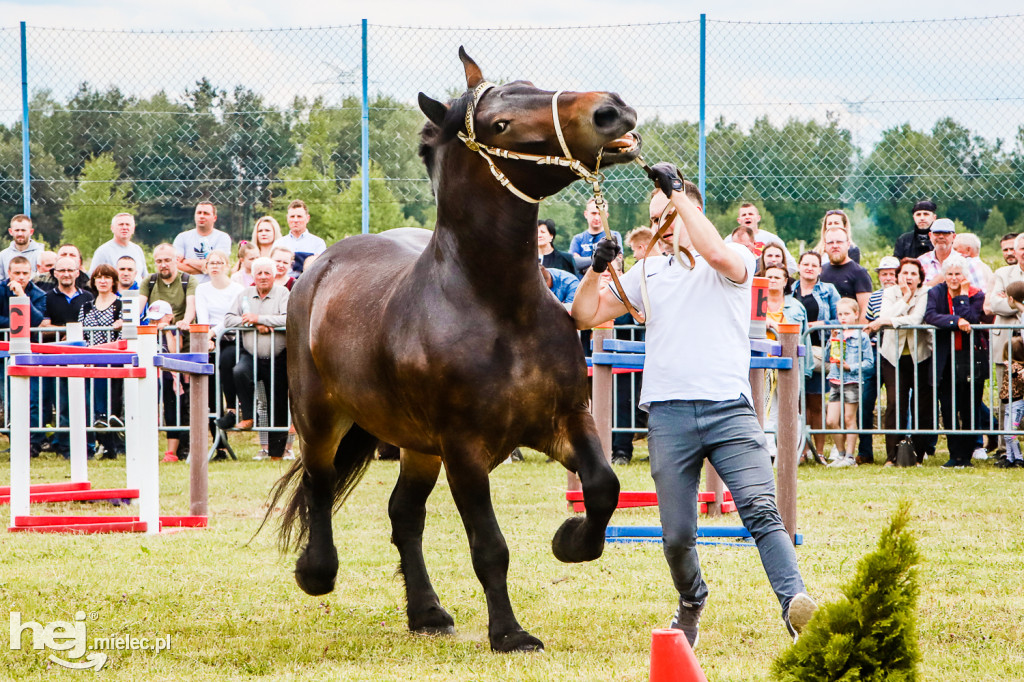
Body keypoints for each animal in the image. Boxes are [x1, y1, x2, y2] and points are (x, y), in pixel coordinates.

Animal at [272, 50, 638, 651]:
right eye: (500, 124)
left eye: (532, 84)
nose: (611, 111)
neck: (499, 308)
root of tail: (319, 267)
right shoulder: (466, 450)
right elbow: (489, 546)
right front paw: (511, 634)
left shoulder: (564, 420)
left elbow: (604, 486)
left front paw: (568, 541)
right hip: (322, 418)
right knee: (320, 485)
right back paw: (316, 573)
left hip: (418, 445)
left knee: (403, 514)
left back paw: (427, 613)